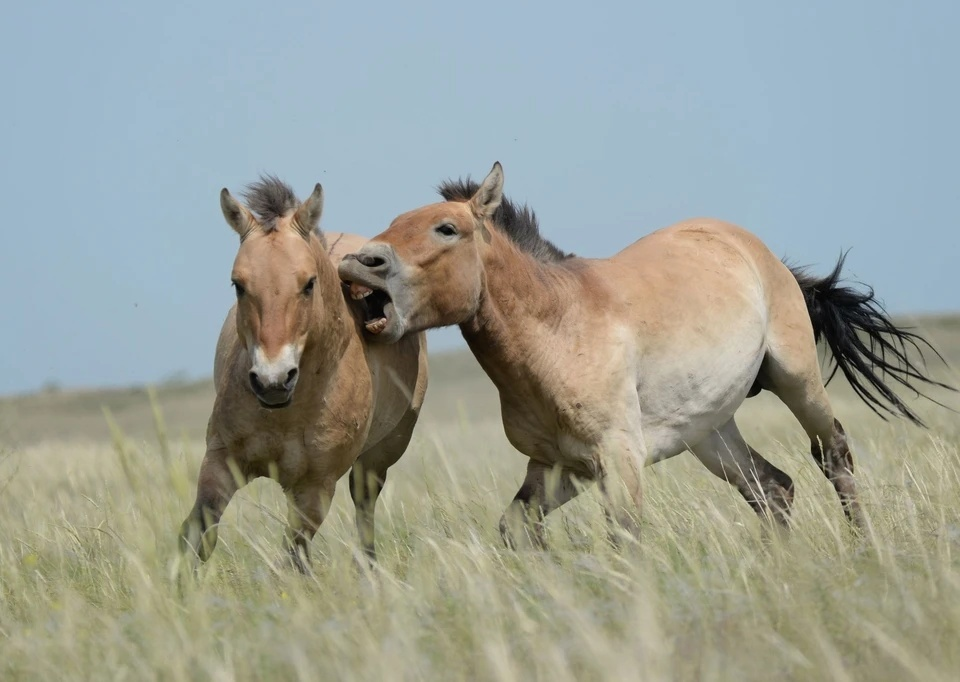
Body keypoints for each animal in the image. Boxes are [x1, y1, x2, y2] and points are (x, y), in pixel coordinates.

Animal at [180, 175, 428, 568]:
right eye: (238, 285)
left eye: (309, 283)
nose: (273, 381)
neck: (289, 413)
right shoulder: (221, 462)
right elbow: (197, 536)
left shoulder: (314, 489)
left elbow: (293, 559)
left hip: (375, 462)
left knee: (365, 516)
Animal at [338, 161, 952, 548]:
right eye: (394, 223)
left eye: (446, 228)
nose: (359, 263)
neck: (560, 329)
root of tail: (758, 251)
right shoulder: (558, 467)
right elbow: (517, 529)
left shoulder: (618, 459)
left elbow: (625, 539)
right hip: (711, 431)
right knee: (773, 489)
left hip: (796, 381)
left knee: (833, 456)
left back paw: (863, 552)